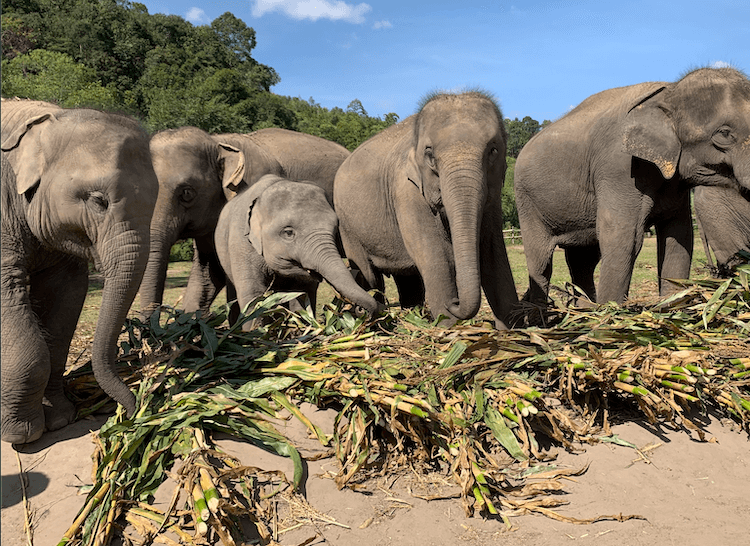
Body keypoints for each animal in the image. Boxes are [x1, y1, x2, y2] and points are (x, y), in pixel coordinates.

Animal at [216, 172, 382, 330]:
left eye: (335, 230)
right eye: (288, 233)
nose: (360, 311)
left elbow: (303, 293)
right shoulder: (241, 245)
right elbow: (254, 295)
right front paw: (255, 333)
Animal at [336, 90, 520, 328]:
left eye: (493, 150)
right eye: (430, 154)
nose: (455, 302)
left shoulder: (493, 194)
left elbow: (492, 250)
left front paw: (514, 325)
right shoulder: (406, 191)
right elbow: (436, 253)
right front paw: (448, 324)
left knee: (408, 281)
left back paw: (411, 316)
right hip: (348, 228)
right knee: (369, 276)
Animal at [516, 66, 750, 304]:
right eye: (724, 134)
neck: (669, 92)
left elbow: (678, 236)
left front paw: (672, 304)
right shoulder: (619, 169)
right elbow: (623, 238)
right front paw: (610, 309)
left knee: (583, 260)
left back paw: (583, 308)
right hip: (527, 203)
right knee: (541, 262)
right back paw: (540, 311)